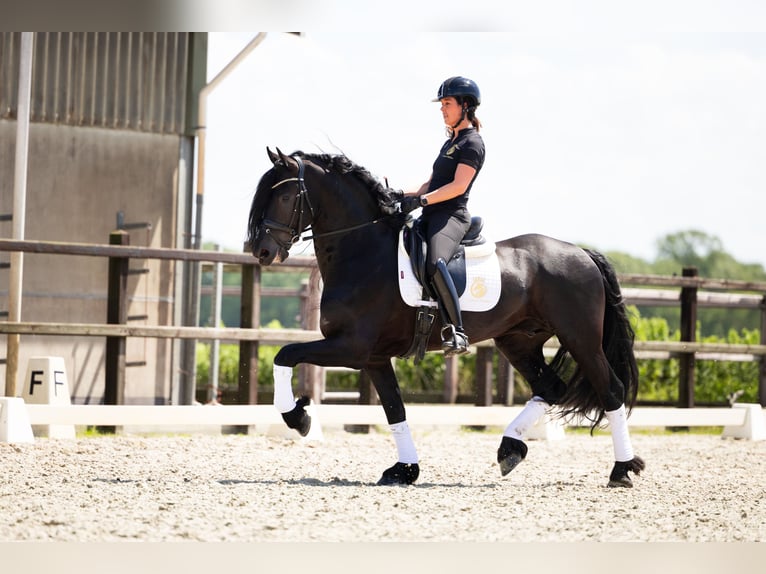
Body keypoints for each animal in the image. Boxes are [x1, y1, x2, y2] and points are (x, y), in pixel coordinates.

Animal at [248, 150, 648, 490]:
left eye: (283, 196)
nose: (262, 252)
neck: (363, 252)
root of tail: (582, 253)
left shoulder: (352, 348)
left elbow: (285, 354)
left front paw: (298, 418)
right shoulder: (374, 357)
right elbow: (394, 409)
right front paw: (404, 470)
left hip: (580, 338)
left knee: (611, 391)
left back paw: (621, 470)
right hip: (519, 341)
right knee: (552, 388)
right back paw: (510, 450)